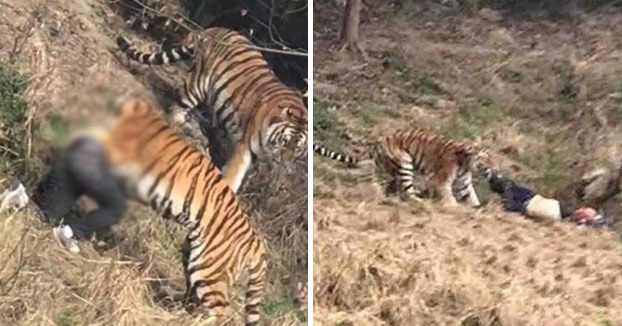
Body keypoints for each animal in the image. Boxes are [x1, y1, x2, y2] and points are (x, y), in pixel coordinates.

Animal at [33, 100, 268, 326]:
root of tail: (256, 242)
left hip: (209, 268)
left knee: (222, 312)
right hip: (192, 256)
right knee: (194, 297)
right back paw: (175, 305)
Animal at [116, 27, 308, 194]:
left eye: (297, 149)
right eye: (285, 141)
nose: (283, 162)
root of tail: (213, 29)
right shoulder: (244, 149)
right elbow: (233, 177)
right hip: (197, 85)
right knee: (178, 105)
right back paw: (180, 123)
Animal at [314, 128, 500, 206]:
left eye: (494, 159)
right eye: (487, 160)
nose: (496, 170)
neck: (467, 164)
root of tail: (376, 144)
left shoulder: (463, 183)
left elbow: (472, 197)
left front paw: (477, 208)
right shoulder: (441, 180)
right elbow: (448, 196)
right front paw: (453, 207)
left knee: (392, 186)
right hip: (404, 161)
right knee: (407, 191)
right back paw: (420, 201)